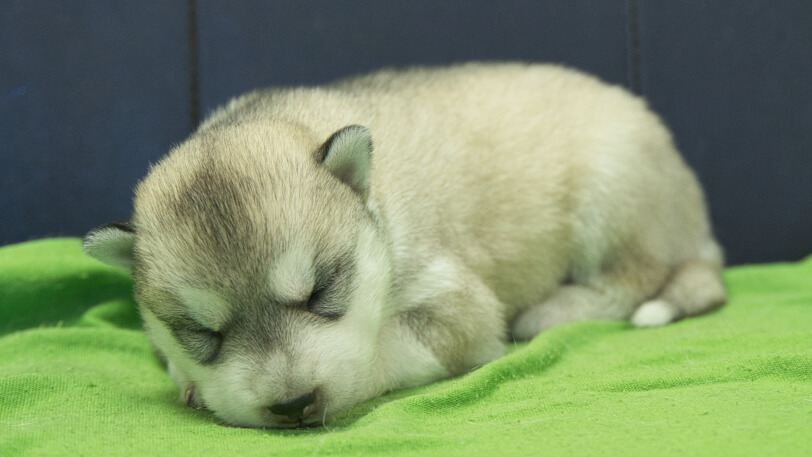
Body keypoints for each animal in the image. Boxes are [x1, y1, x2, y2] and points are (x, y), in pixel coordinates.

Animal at [84, 61, 728, 428]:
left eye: (321, 292)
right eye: (203, 332)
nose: (292, 407)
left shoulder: (455, 302)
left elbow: (384, 349)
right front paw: (192, 380)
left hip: (610, 190)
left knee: (633, 279)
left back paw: (554, 310)